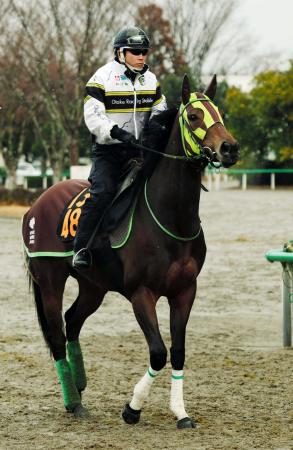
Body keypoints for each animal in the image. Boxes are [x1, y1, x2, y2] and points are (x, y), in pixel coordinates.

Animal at [22, 74, 237, 428]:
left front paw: (181, 413)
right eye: (194, 116)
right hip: (50, 282)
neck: (170, 218)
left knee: (73, 322)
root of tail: (36, 205)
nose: (229, 148)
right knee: (56, 333)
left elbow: (178, 352)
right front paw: (132, 408)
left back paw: (79, 386)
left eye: (219, 113)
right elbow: (159, 352)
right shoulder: (142, 293)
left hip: (93, 287)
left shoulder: (185, 291)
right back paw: (73, 402)